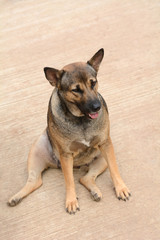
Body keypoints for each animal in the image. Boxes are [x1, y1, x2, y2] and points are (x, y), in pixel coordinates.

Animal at [7, 48, 131, 214]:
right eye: (75, 90)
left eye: (93, 83)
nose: (97, 106)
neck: (81, 119)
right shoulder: (66, 155)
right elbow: (69, 181)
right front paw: (71, 200)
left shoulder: (106, 144)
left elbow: (114, 170)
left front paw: (121, 188)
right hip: (36, 151)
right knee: (36, 181)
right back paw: (16, 197)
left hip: (103, 156)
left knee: (85, 178)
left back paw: (95, 191)